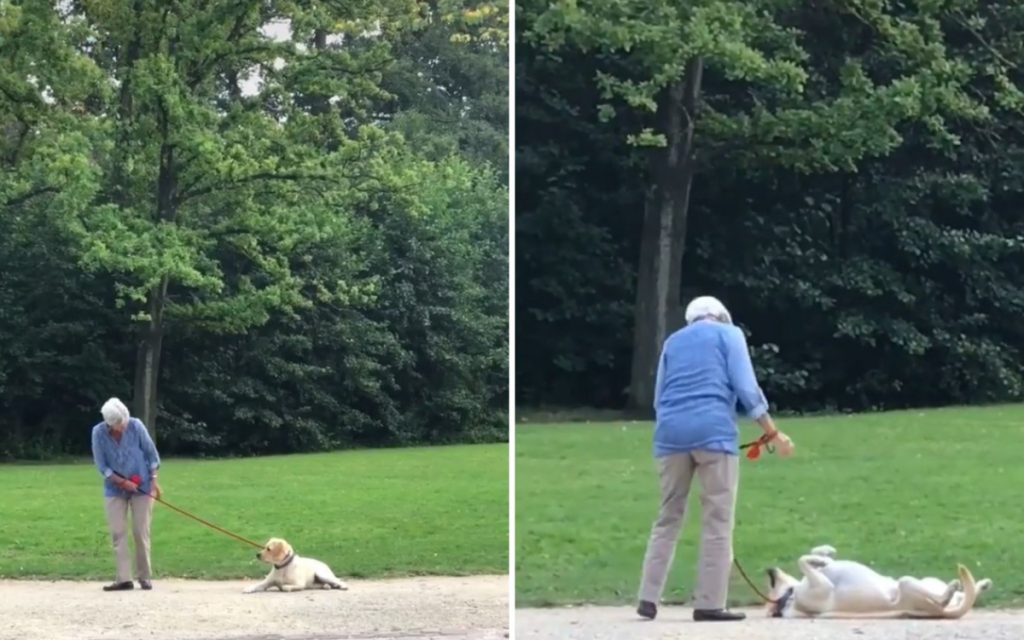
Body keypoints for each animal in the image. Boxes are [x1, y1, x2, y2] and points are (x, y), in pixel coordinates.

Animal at [770, 540, 991, 618]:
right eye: (772, 583)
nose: (769, 570)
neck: (790, 598)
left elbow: (811, 555)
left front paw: (824, 553)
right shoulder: (821, 586)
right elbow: (802, 560)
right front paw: (819, 558)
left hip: (928, 581)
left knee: (963, 594)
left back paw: (981, 585)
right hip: (906, 583)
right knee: (945, 598)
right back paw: (948, 593)